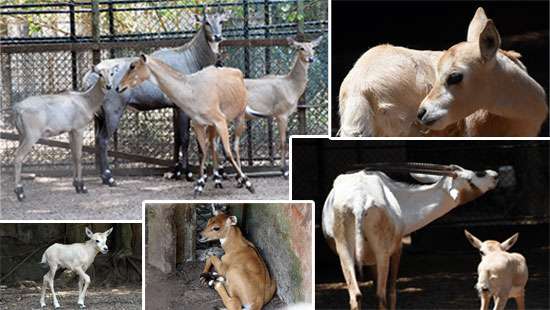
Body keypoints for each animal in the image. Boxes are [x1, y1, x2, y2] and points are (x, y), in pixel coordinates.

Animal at [116, 55, 254, 196]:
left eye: (133, 66)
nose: (118, 87)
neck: (191, 90)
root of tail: (238, 73)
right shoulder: (198, 124)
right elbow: (203, 152)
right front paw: (199, 185)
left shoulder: (220, 121)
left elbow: (228, 153)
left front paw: (248, 184)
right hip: (212, 127)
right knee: (213, 146)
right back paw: (217, 180)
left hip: (239, 118)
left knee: (235, 147)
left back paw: (239, 181)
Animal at [245, 36, 324, 177]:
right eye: (300, 48)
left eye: (312, 47)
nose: (311, 58)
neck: (290, 85)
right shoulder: (281, 114)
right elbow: (282, 142)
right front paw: (284, 170)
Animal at [324, 163, 500, 308]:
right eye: (475, 176)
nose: (495, 175)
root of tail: (359, 201)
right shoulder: (397, 248)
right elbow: (392, 293)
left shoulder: (372, 260)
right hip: (382, 253)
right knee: (381, 295)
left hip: (345, 253)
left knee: (356, 295)